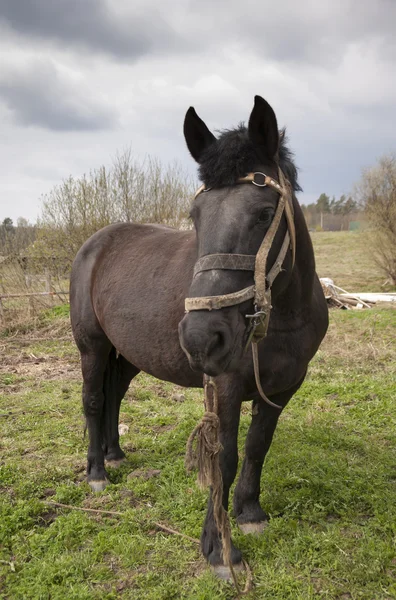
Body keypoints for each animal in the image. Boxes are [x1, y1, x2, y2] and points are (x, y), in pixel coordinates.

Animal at [70, 96, 328, 580]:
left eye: (265, 213)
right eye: (196, 217)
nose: (201, 337)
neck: (281, 318)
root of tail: (95, 243)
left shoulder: (282, 388)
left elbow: (257, 447)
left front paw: (250, 513)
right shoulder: (224, 386)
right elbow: (223, 458)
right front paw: (219, 550)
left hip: (129, 353)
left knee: (114, 395)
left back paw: (114, 455)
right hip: (92, 346)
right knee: (94, 400)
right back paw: (97, 471)